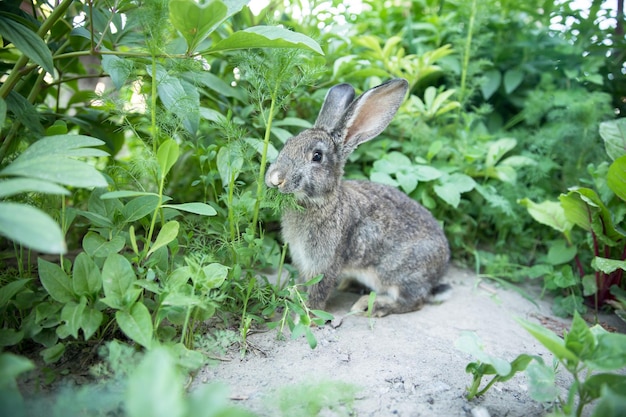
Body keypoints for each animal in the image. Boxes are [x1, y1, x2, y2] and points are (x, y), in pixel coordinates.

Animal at [264, 79, 448, 316]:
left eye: (317, 156)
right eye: (288, 142)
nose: (276, 178)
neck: (322, 203)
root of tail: (440, 268)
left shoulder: (325, 263)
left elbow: (318, 291)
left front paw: (306, 314)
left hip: (397, 274)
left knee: (413, 300)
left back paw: (371, 305)